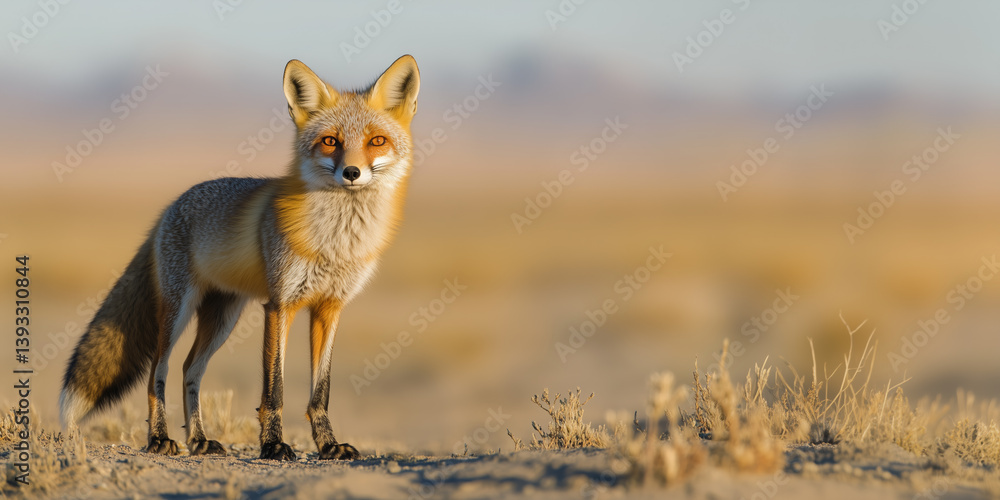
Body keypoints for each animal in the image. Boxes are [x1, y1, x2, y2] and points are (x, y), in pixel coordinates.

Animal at [60, 55, 420, 461]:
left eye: (377, 141)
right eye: (330, 141)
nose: (352, 172)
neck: (336, 243)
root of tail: (171, 206)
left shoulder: (330, 308)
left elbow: (321, 391)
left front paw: (328, 445)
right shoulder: (280, 305)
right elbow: (274, 390)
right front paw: (274, 445)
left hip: (223, 317)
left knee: (190, 370)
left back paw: (199, 439)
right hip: (178, 310)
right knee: (158, 372)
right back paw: (159, 439)